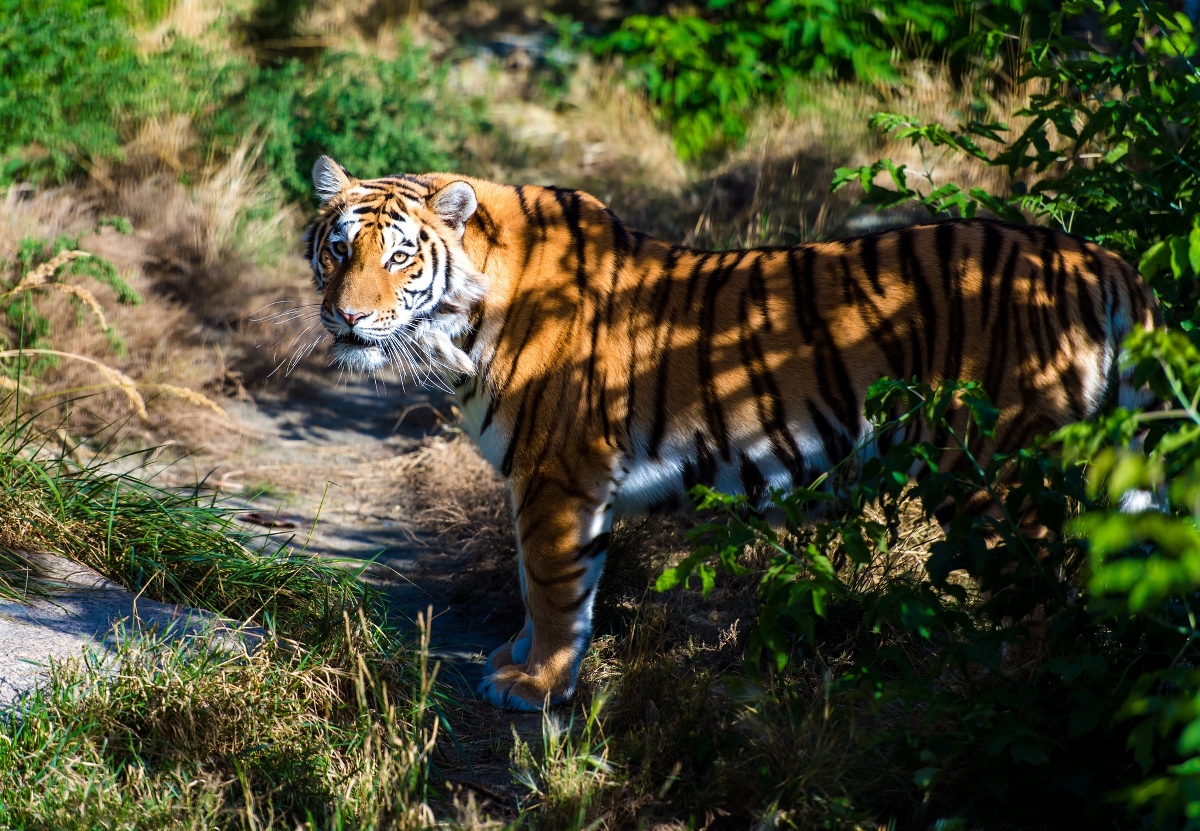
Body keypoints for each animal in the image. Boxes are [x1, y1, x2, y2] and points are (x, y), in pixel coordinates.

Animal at [300, 153, 1161, 706]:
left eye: (400, 259)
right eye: (337, 251)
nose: (345, 317)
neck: (463, 324)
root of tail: (1101, 260)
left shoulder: (558, 472)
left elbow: (551, 583)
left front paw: (534, 683)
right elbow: (537, 579)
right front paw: (519, 658)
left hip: (997, 466)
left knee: (1045, 583)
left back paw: (1011, 686)